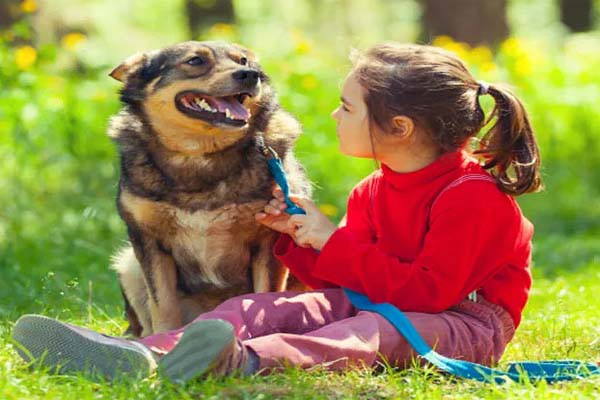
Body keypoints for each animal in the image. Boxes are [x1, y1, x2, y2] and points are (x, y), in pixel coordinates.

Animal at [108, 41, 312, 338]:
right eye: (195, 61)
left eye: (243, 60)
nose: (250, 75)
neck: (200, 155)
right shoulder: (148, 240)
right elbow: (163, 305)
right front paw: (164, 339)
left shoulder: (269, 238)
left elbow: (264, 297)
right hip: (129, 266)